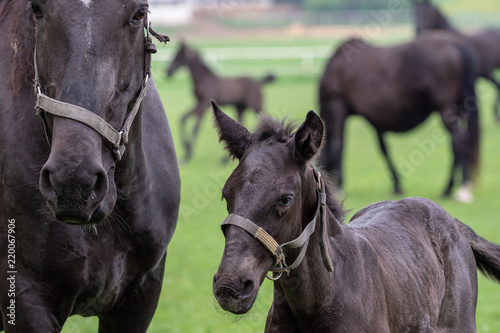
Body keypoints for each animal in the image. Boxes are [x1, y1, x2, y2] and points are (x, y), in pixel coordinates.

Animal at [318, 33, 478, 200]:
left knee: (458, 143)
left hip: (446, 110)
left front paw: (339, 186)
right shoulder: (376, 120)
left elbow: (338, 145)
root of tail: (455, 45)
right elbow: (384, 149)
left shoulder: (337, 105)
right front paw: (397, 185)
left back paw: (457, 188)